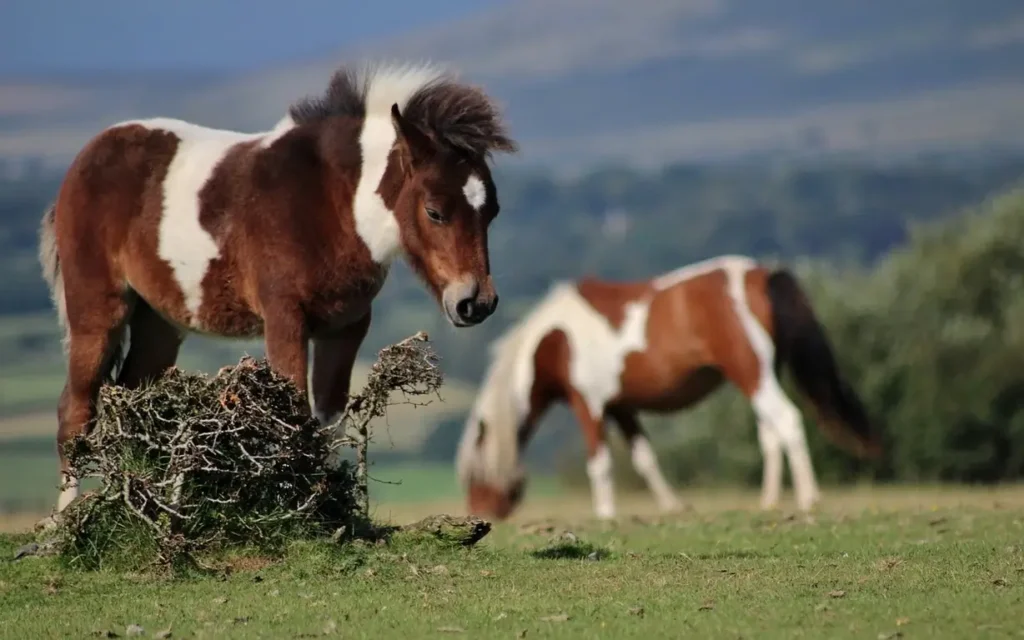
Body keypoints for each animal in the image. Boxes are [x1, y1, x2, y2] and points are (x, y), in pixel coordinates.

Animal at [39, 59, 520, 520]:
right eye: (434, 211)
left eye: (493, 211)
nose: (475, 302)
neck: (331, 203)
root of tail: (84, 160)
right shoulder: (285, 319)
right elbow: (295, 416)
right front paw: (300, 514)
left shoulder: (345, 327)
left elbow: (327, 421)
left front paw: (333, 512)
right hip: (97, 312)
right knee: (76, 412)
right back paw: (67, 523)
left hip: (160, 322)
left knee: (135, 401)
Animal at [456, 252, 880, 520]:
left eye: (474, 474)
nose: (480, 513)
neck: (556, 339)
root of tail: (761, 275)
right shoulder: (621, 406)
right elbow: (645, 458)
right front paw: (674, 507)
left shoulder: (588, 404)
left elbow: (600, 463)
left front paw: (605, 514)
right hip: (758, 376)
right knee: (770, 433)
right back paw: (770, 502)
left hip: (751, 373)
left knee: (788, 420)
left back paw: (808, 498)